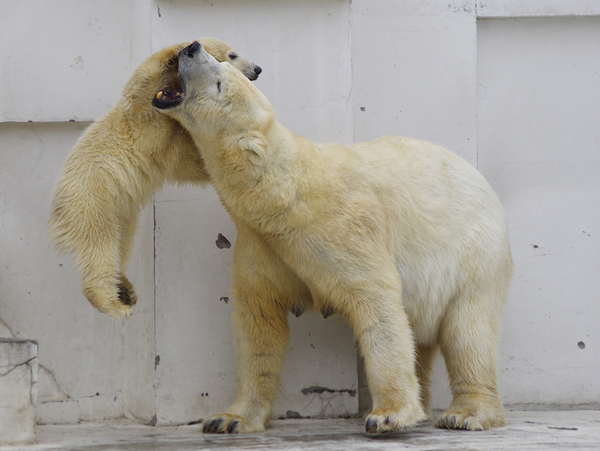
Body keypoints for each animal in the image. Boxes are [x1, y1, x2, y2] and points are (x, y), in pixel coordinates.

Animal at [48, 39, 260, 322]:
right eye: (232, 55)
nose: (257, 69)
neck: (167, 102)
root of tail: (56, 213)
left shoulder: (173, 143)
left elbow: (194, 163)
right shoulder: (142, 112)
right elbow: (142, 78)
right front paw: (180, 49)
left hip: (121, 214)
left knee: (121, 245)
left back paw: (125, 288)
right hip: (91, 201)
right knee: (99, 250)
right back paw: (113, 305)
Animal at [156, 41, 516, 434]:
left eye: (220, 81)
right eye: (223, 65)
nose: (191, 47)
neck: (288, 193)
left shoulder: (341, 229)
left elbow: (377, 301)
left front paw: (388, 414)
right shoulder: (262, 244)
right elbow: (258, 319)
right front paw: (229, 419)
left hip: (474, 256)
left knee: (468, 331)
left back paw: (465, 414)